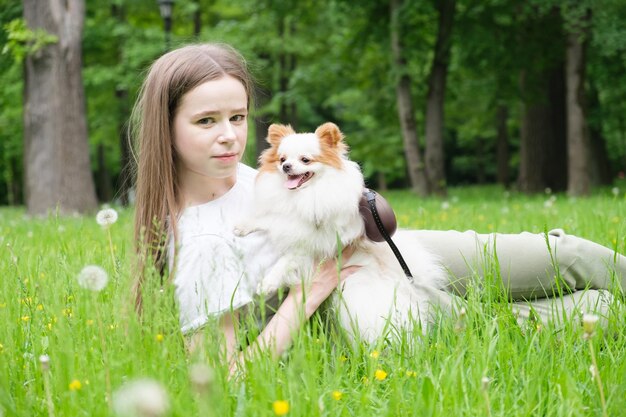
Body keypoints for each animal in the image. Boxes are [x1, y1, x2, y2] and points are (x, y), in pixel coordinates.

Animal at [235, 121, 448, 342]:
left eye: (305, 160)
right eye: (282, 159)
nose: (286, 167)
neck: (302, 197)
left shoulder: (311, 244)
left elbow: (285, 261)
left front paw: (267, 283)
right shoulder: (287, 218)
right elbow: (270, 219)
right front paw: (243, 226)